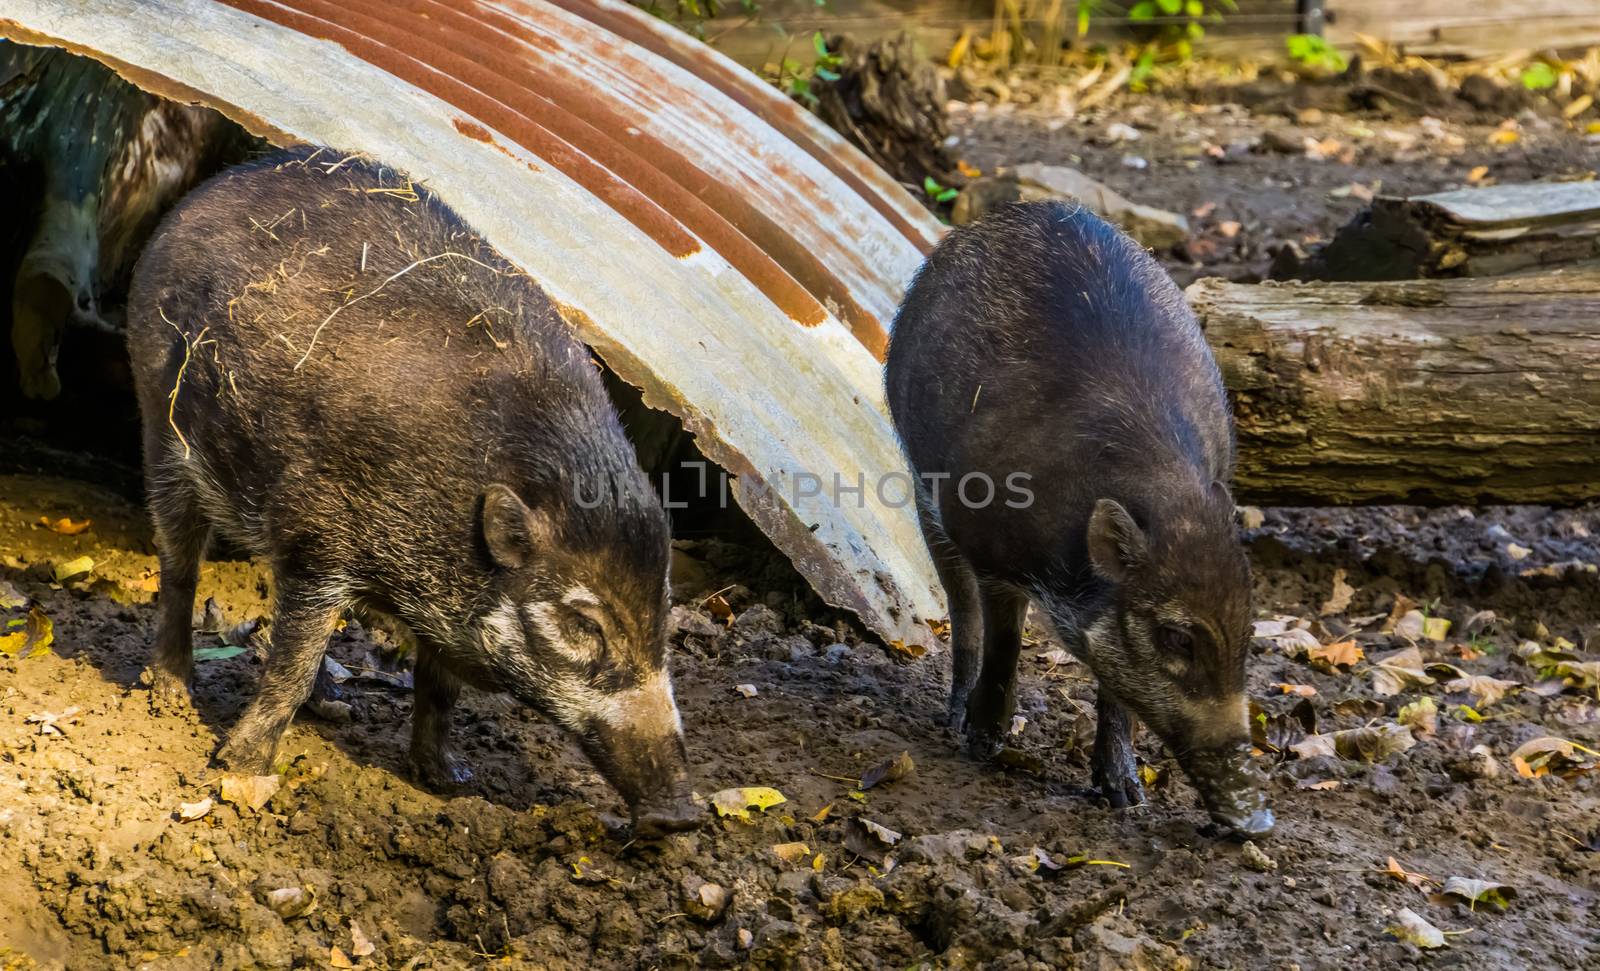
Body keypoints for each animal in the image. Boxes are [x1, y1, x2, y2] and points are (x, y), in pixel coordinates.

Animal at [128, 143, 697, 838]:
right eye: (584, 624)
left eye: (664, 614)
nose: (683, 814)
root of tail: (208, 190)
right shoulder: (322, 542)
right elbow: (292, 663)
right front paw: (239, 769)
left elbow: (438, 689)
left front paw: (449, 781)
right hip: (160, 423)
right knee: (180, 564)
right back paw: (169, 688)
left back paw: (334, 708)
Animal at [889, 203, 1273, 838]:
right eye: (1176, 637)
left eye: (1249, 635)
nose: (1259, 819)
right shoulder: (990, 549)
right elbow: (1003, 640)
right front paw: (982, 747)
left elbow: (1115, 688)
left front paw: (1126, 798)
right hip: (924, 491)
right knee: (962, 612)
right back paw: (954, 719)